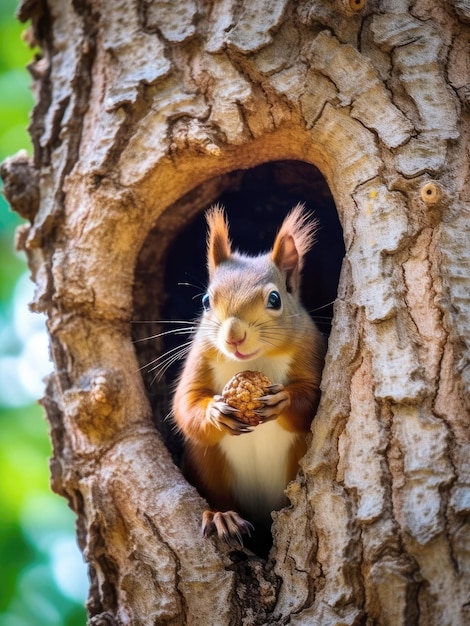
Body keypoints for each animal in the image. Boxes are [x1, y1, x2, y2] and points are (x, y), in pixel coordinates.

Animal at [173, 202, 326, 544]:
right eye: (206, 301)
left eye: (275, 299)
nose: (234, 336)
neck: (253, 362)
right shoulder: (198, 360)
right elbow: (185, 407)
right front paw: (215, 412)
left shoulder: (312, 353)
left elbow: (313, 399)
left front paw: (281, 401)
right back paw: (222, 517)